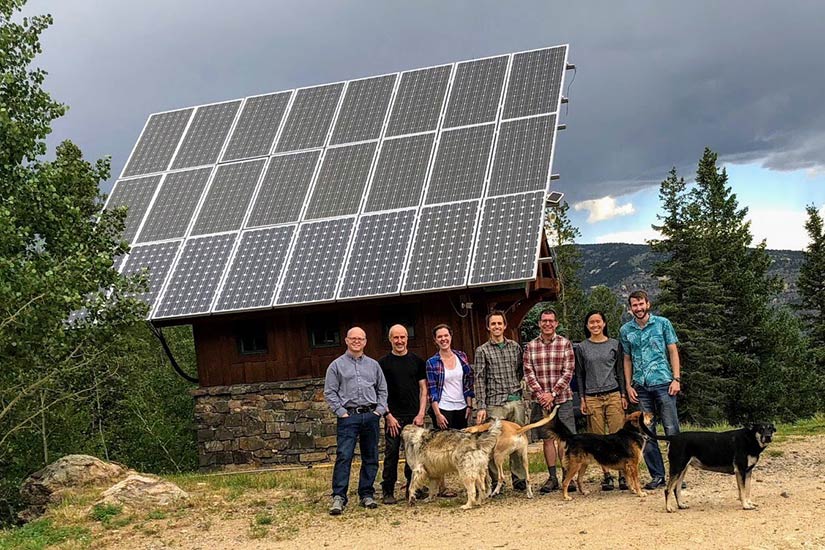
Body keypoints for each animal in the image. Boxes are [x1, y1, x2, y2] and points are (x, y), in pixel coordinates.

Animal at [640, 418, 776, 512]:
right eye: (761, 429)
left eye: (770, 429)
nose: (768, 437)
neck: (750, 439)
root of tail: (673, 437)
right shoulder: (741, 470)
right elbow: (742, 491)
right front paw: (745, 505)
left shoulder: (748, 471)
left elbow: (747, 490)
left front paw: (749, 503)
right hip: (677, 468)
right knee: (667, 490)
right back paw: (669, 508)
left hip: (683, 469)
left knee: (676, 489)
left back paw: (681, 505)